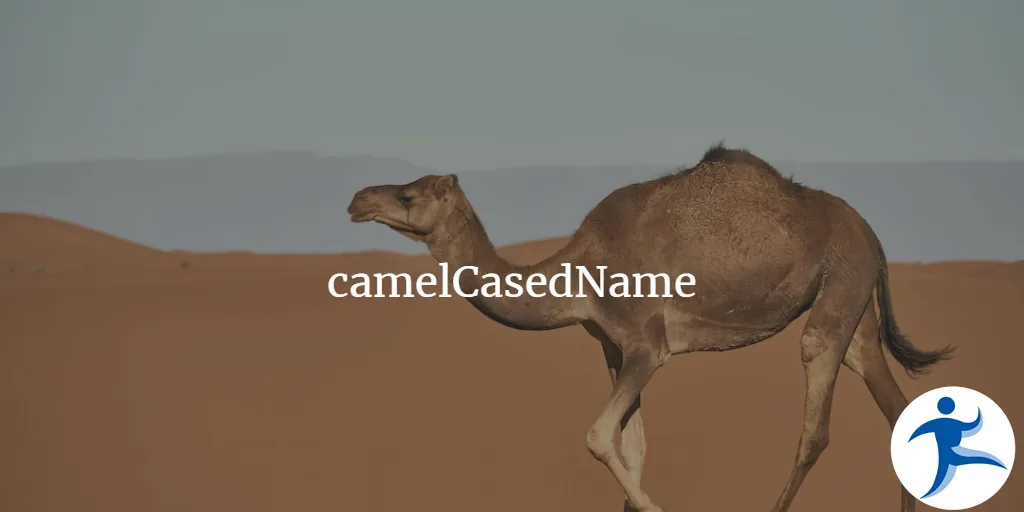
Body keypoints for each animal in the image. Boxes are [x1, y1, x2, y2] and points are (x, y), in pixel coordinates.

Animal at [346, 143, 955, 512]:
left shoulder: (646, 344)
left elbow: (596, 437)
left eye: (408, 195)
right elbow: (632, 447)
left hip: (841, 282)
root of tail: (870, 233)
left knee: (815, 416)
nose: (357, 198)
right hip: (852, 300)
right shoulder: (613, 349)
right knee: (890, 398)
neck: (581, 273)